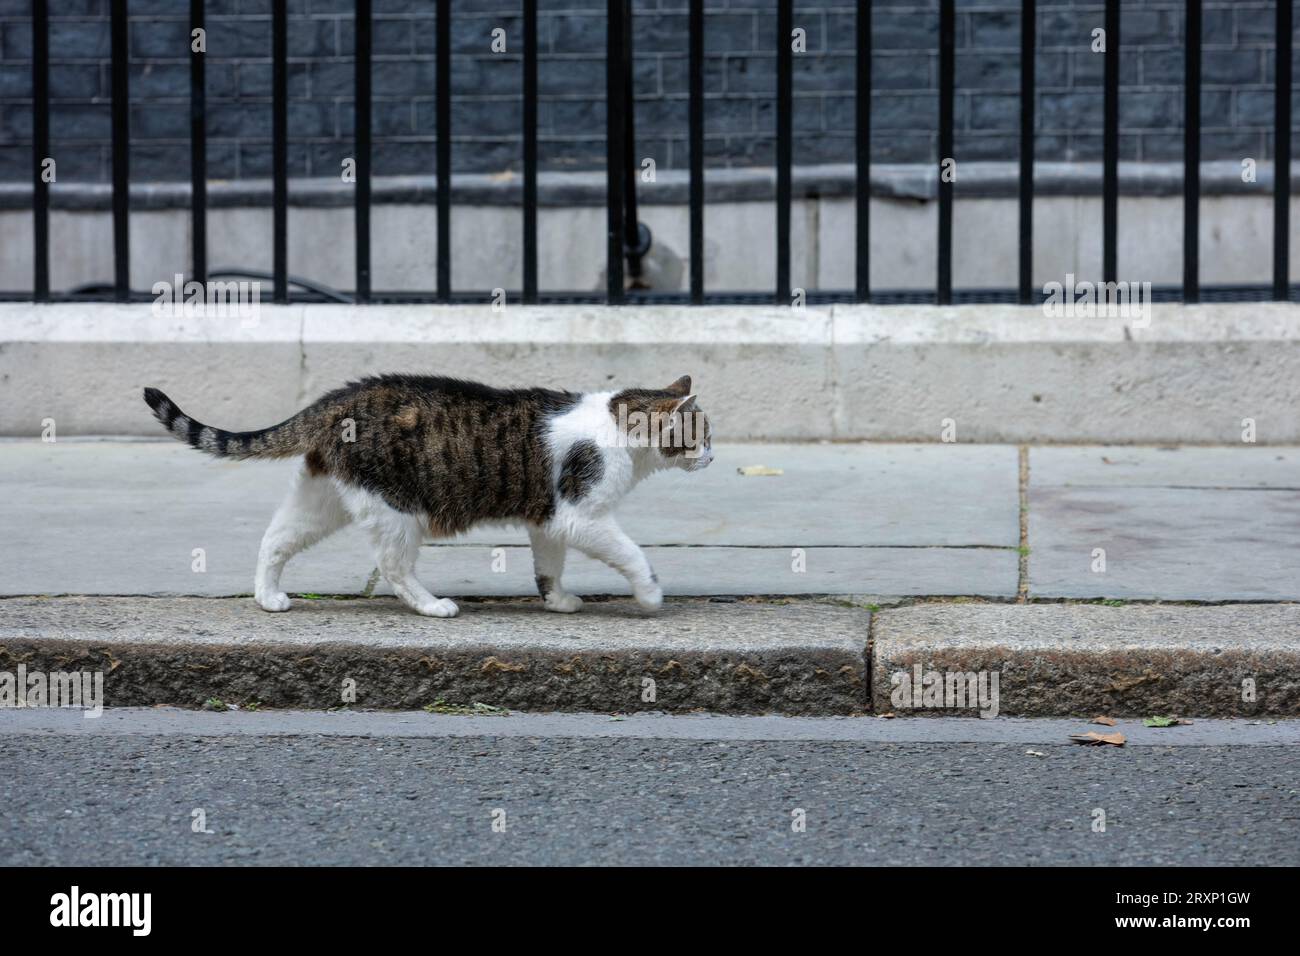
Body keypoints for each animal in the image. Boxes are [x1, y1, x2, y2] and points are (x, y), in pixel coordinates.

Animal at [143, 369, 717, 616]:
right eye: (702, 434)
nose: (714, 455)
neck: (619, 428)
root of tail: (335, 398)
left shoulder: (550, 519)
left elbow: (548, 567)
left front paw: (557, 602)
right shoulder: (582, 515)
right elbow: (633, 554)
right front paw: (650, 596)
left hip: (323, 499)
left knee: (274, 539)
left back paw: (267, 597)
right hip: (397, 510)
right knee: (394, 567)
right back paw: (432, 606)